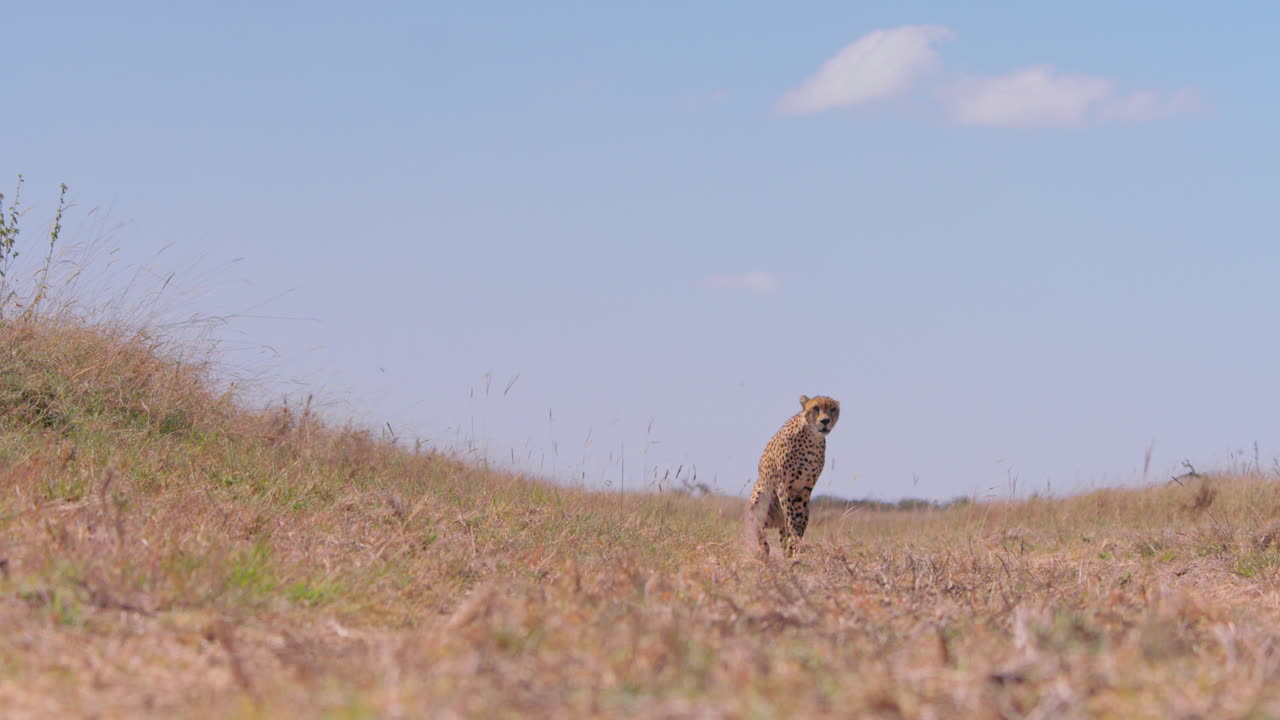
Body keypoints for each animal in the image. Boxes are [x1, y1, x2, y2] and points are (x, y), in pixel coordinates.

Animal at [745, 395, 840, 558]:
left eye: (832, 409)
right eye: (816, 408)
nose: (825, 421)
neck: (812, 438)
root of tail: (774, 521)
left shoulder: (805, 489)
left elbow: (798, 518)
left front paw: (796, 543)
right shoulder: (784, 486)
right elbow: (791, 517)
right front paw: (795, 539)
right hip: (758, 501)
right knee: (760, 531)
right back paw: (764, 551)